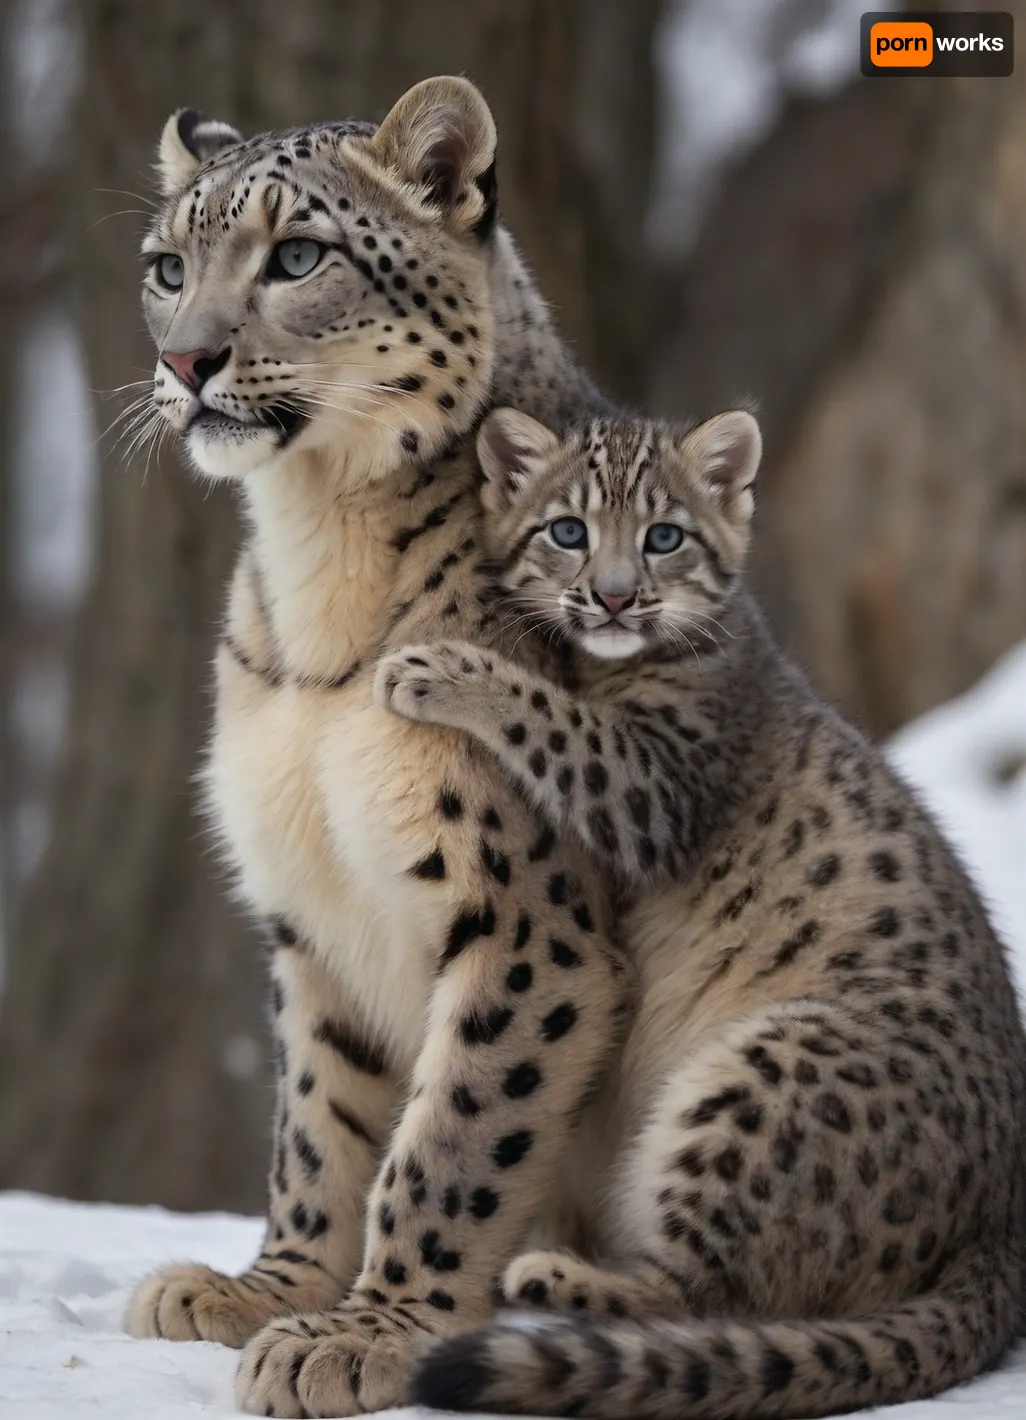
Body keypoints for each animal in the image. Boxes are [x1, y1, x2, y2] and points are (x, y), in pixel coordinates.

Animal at [122, 78, 636, 1418]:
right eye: (166, 265)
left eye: (298, 255)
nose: (184, 357)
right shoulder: (313, 907)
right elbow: (321, 1117)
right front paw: (265, 1288)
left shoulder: (524, 917)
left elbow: (453, 1130)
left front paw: (366, 1331)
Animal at [376, 406, 1026, 1419]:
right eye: (568, 529)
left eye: (664, 537)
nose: (613, 599)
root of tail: (999, 1228)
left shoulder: (658, 783)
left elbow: (560, 723)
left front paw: (439, 671)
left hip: (762, 1078)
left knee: (710, 1290)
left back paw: (552, 1277)